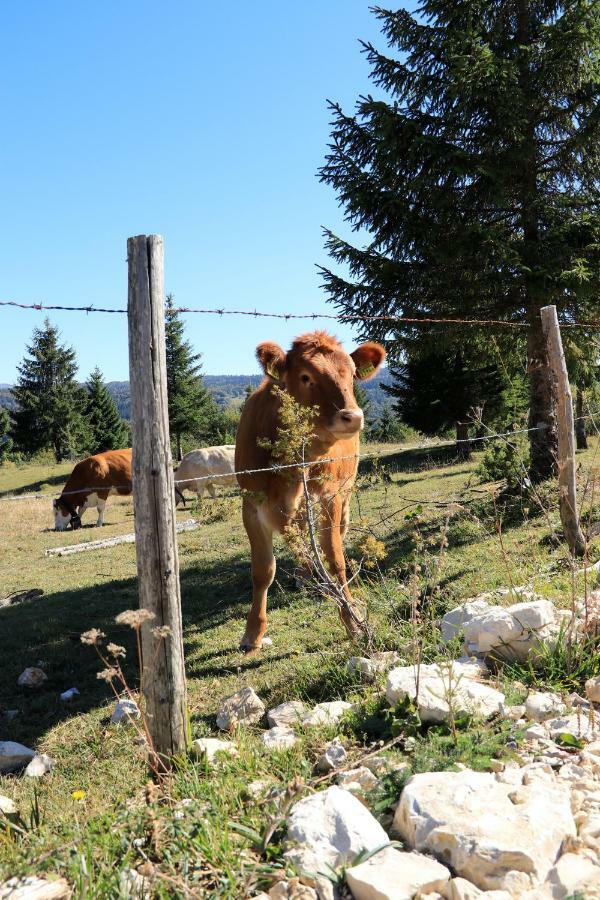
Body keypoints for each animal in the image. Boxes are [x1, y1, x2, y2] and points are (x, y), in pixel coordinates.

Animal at [234, 328, 384, 648]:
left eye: (351, 374)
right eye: (305, 376)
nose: (352, 416)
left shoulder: (330, 497)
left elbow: (335, 558)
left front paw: (352, 619)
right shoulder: (251, 505)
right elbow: (262, 570)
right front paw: (253, 632)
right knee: (300, 538)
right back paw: (306, 575)